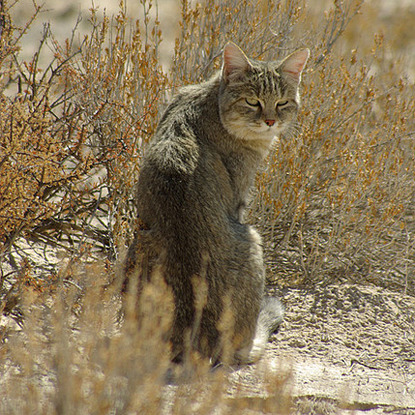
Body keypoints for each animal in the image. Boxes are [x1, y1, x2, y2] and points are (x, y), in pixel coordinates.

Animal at [125, 42, 310, 366]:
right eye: (252, 101)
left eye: (283, 102)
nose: (270, 121)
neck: (208, 100)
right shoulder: (239, 201)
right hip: (253, 240)